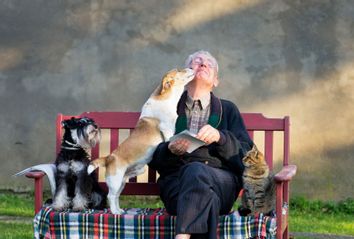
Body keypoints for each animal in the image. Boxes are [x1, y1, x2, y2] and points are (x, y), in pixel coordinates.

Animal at [87, 68, 195, 214]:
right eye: (179, 70)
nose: (192, 68)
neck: (166, 99)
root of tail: (108, 158)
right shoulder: (167, 130)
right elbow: (169, 139)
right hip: (115, 181)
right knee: (111, 196)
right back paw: (115, 212)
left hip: (122, 182)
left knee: (116, 196)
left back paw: (119, 210)